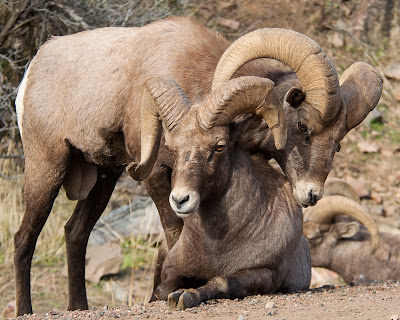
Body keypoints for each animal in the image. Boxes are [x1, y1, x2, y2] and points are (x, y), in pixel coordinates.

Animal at [14, 15, 382, 316]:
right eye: (303, 125)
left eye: (338, 142)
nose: (311, 194)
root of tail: (32, 70)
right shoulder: (159, 178)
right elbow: (174, 236)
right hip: (48, 167)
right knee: (24, 238)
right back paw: (24, 310)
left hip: (105, 176)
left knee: (75, 233)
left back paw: (79, 307)